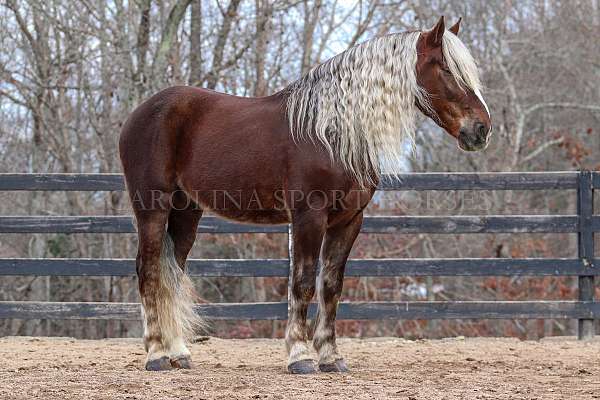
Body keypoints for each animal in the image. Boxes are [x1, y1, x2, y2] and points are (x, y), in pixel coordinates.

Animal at [118, 15, 492, 372]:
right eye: (447, 69)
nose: (482, 129)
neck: (332, 133)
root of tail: (140, 113)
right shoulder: (308, 217)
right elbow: (302, 282)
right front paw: (299, 356)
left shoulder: (349, 221)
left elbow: (331, 286)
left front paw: (330, 357)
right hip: (152, 207)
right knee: (148, 269)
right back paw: (156, 354)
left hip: (186, 212)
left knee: (172, 273)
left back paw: (179, 353)